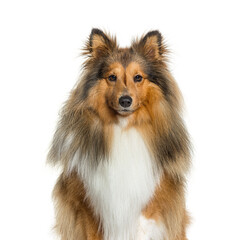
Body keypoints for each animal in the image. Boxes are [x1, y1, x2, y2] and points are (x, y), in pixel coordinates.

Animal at [47, 28, 191, 240]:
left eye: (138, 77)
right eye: (112, 77)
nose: (125, 101)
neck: (123, 127)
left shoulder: (148, 207)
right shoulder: (88, 205)